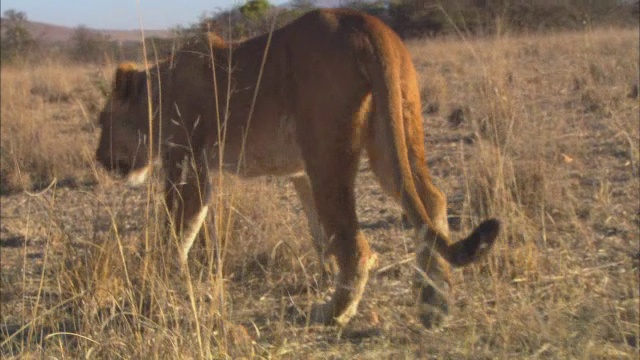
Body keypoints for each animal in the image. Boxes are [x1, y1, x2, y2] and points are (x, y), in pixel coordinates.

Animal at [96, 8, 500, 330]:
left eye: (102, 121)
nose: (99, 158)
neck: (160, 90)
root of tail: (364, 24)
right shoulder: (300, 172)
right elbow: (317, 232)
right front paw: (323, 273)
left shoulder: (188, 165)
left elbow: (177, 230)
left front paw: (158, 281)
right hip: (392, 139)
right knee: (431, 202)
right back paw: (435, 303)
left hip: (329, 157)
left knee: (356, 244)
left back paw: (333, 313)